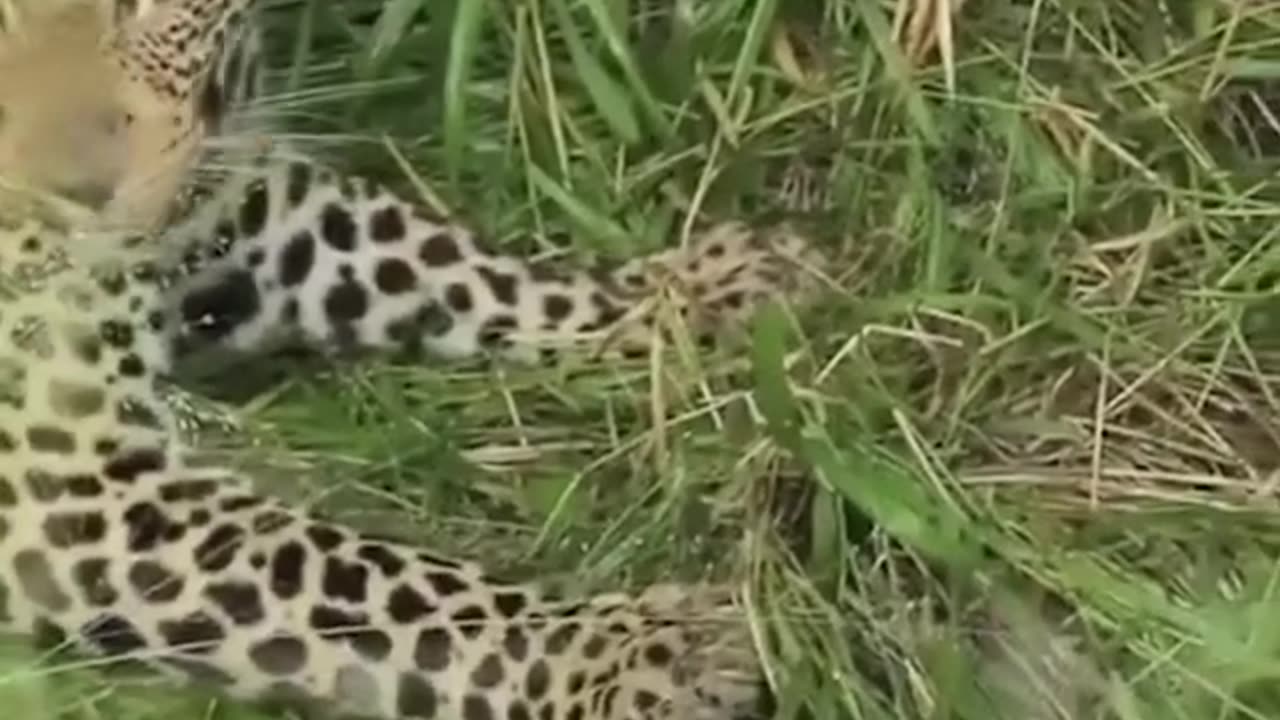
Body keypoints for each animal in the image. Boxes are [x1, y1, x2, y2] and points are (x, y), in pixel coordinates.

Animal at [0, 1, 819, 717]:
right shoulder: (64, 483)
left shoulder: (225, 192)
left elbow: (415, 254)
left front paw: (703, 289)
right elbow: (365, 582)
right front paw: (629, 656)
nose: (84, 194)